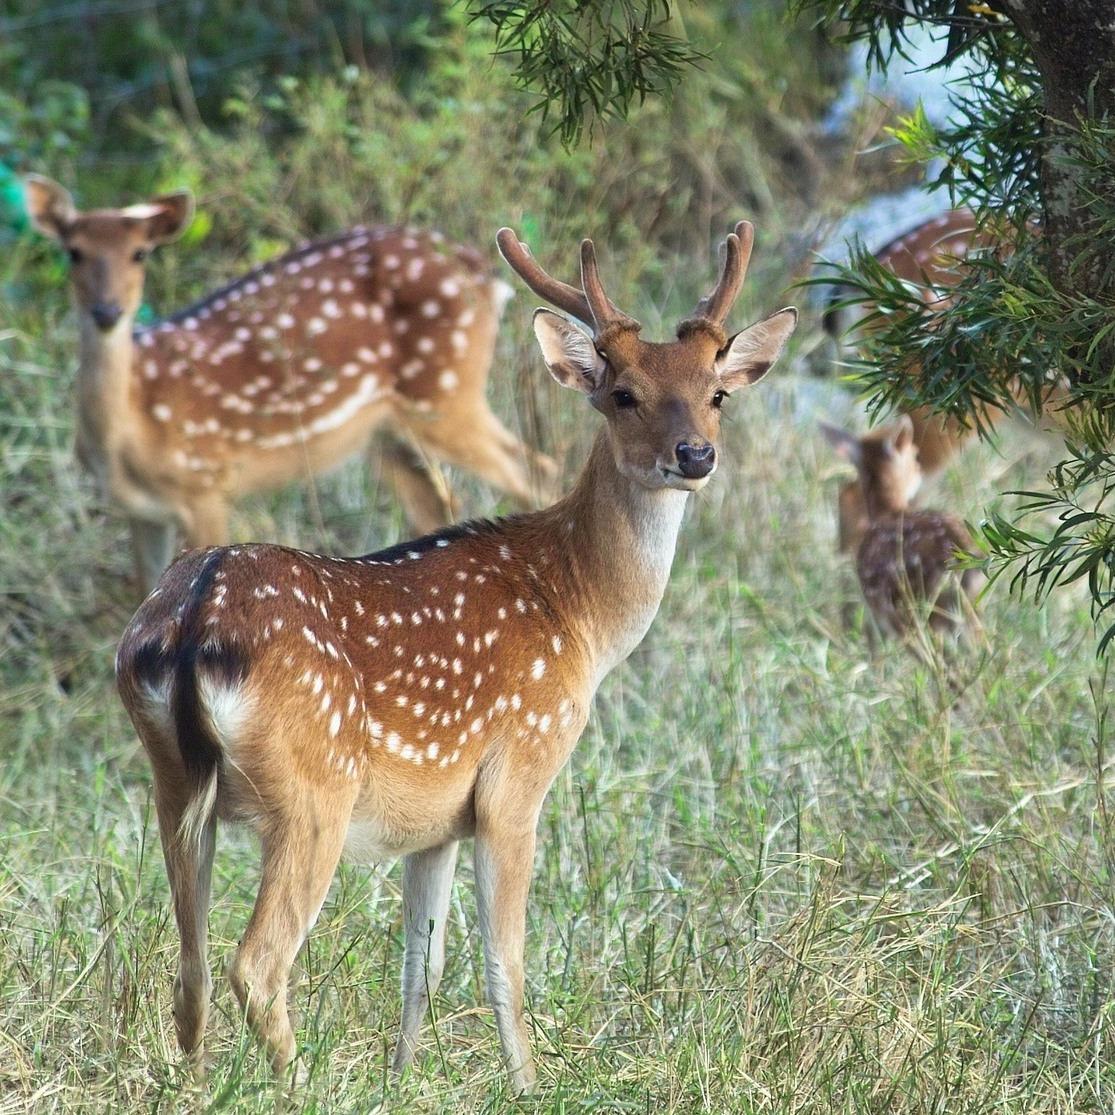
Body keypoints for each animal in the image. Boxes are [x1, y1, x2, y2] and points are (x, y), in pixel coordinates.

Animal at [24, 174, 555, 590]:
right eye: (72, 252)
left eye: (139, 253)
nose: (107, 312)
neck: (132, 431)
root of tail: (487, 275)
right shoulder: (141, 513)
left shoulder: (206, 484)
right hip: (385, 430)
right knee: (439, 502)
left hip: (444, 392)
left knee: (533, 467)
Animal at [115, 220, 797, 1093]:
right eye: (622, 394)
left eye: (717, 393)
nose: (693, 455)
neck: (579, 614)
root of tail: (194, 617)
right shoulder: (517, 774)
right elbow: (502, 961)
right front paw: (529, 1085)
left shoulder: (434, 818)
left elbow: (420, 966)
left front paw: (402, 1077)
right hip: (313, 791)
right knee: (256, 964)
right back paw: (300, 1085)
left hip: (172, 782)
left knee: (189, 967)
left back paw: (202, 1085)